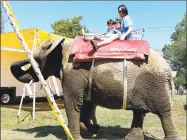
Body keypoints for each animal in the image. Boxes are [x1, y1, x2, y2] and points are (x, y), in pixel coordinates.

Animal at [10, 37, 180, 140]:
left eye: (37, 61)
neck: (64, 44)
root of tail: (169, 70)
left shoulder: (74, 71)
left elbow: (73, 102)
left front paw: (77, 137)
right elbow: (85, 103)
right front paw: (93, 129)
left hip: (154, 84)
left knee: (163, 112)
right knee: (140, 111)